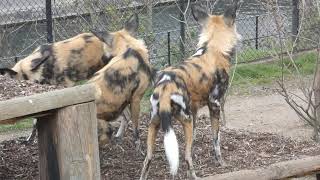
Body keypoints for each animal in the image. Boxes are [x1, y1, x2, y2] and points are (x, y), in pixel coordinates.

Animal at [88, 13, 154, 149]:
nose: (101, 59)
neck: (131, 49)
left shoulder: (122, 100)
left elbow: (126, 118)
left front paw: (120, 136)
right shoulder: (136, 99)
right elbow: (135, 127)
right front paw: (137, 145)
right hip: (104, 124)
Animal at [140, 1, 240, 179]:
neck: (212, 47)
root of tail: (166, 85)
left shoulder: (194, 111)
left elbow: (192, 144)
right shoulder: (214, 104)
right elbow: (216, 139)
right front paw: (220, 162)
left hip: (155, 123)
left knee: (148, 159)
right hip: (184, 119)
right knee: (185, 156)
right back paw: (194, 175)